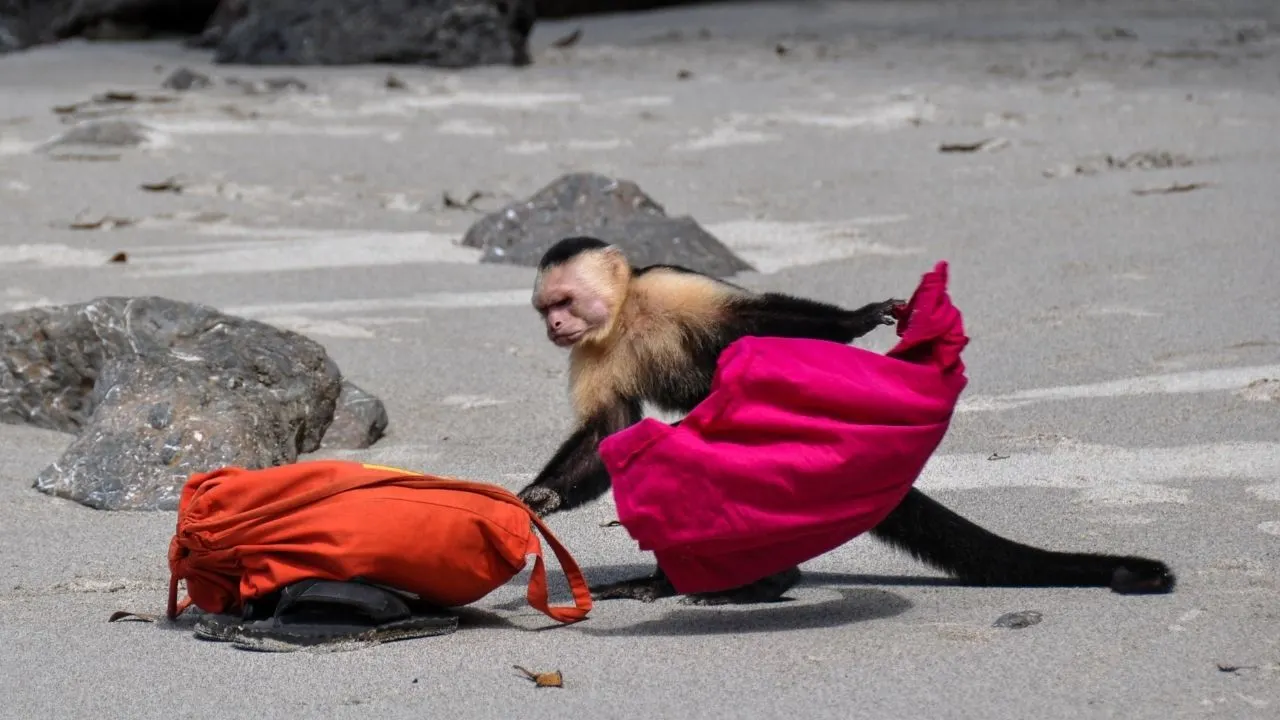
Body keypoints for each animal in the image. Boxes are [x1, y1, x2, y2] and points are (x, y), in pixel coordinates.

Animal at [514, 238, 1172, 602]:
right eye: (546, 310)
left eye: (563, 302)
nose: (553, 325)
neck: (625, 315)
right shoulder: (589, 351)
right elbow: (607, 431)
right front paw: (540, 497)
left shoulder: (670, 287)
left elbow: (757, 319)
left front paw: (856, 319)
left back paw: (755, 584)